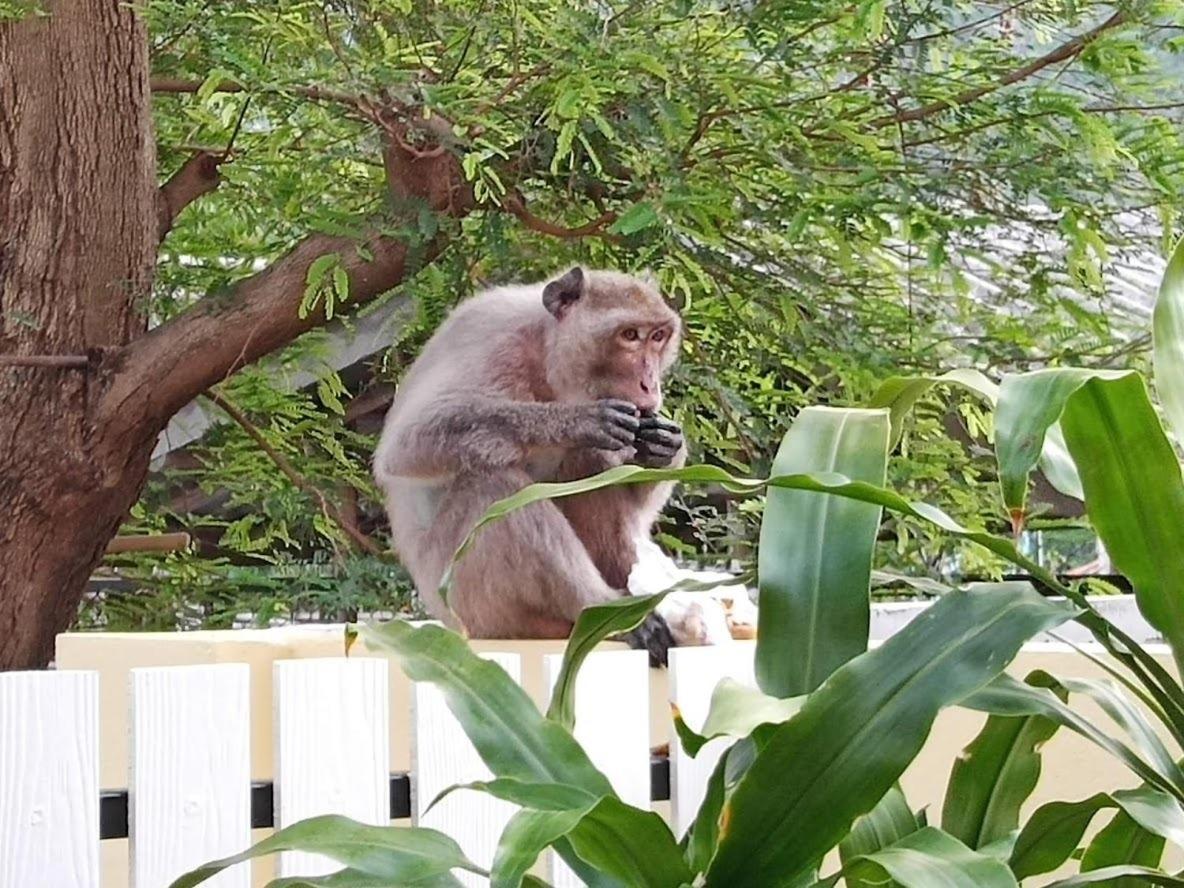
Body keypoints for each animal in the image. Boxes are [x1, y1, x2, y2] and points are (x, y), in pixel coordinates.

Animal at [369, 267, 686, 663]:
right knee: (492, 486)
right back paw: (604, 609)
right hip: (473, 601)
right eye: (630, 336)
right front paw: (578, 421)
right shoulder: (495, 337)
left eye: (658, 337)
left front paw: (664, 446)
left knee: (586, 463)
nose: (650, 384)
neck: (547, 357)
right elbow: (410, 443)